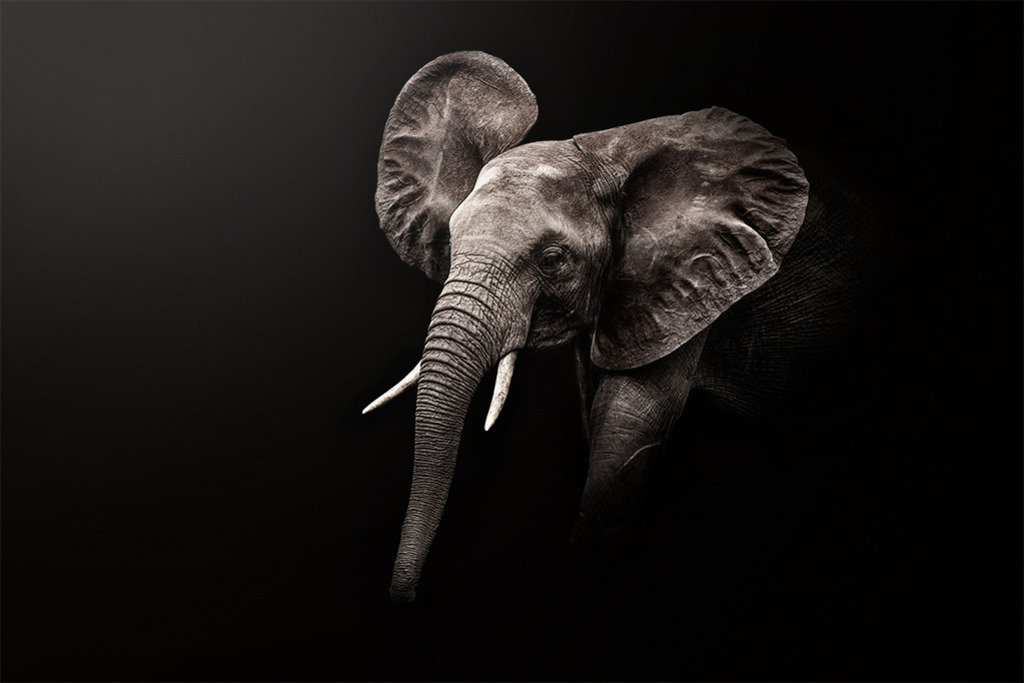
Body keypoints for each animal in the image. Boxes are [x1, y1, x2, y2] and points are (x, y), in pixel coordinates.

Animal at [363, 51, 880, 603]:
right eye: (452, 241)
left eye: (552, 260)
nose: (405, 596)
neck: (602, 153)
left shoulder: (692, 277)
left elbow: (627, 431)